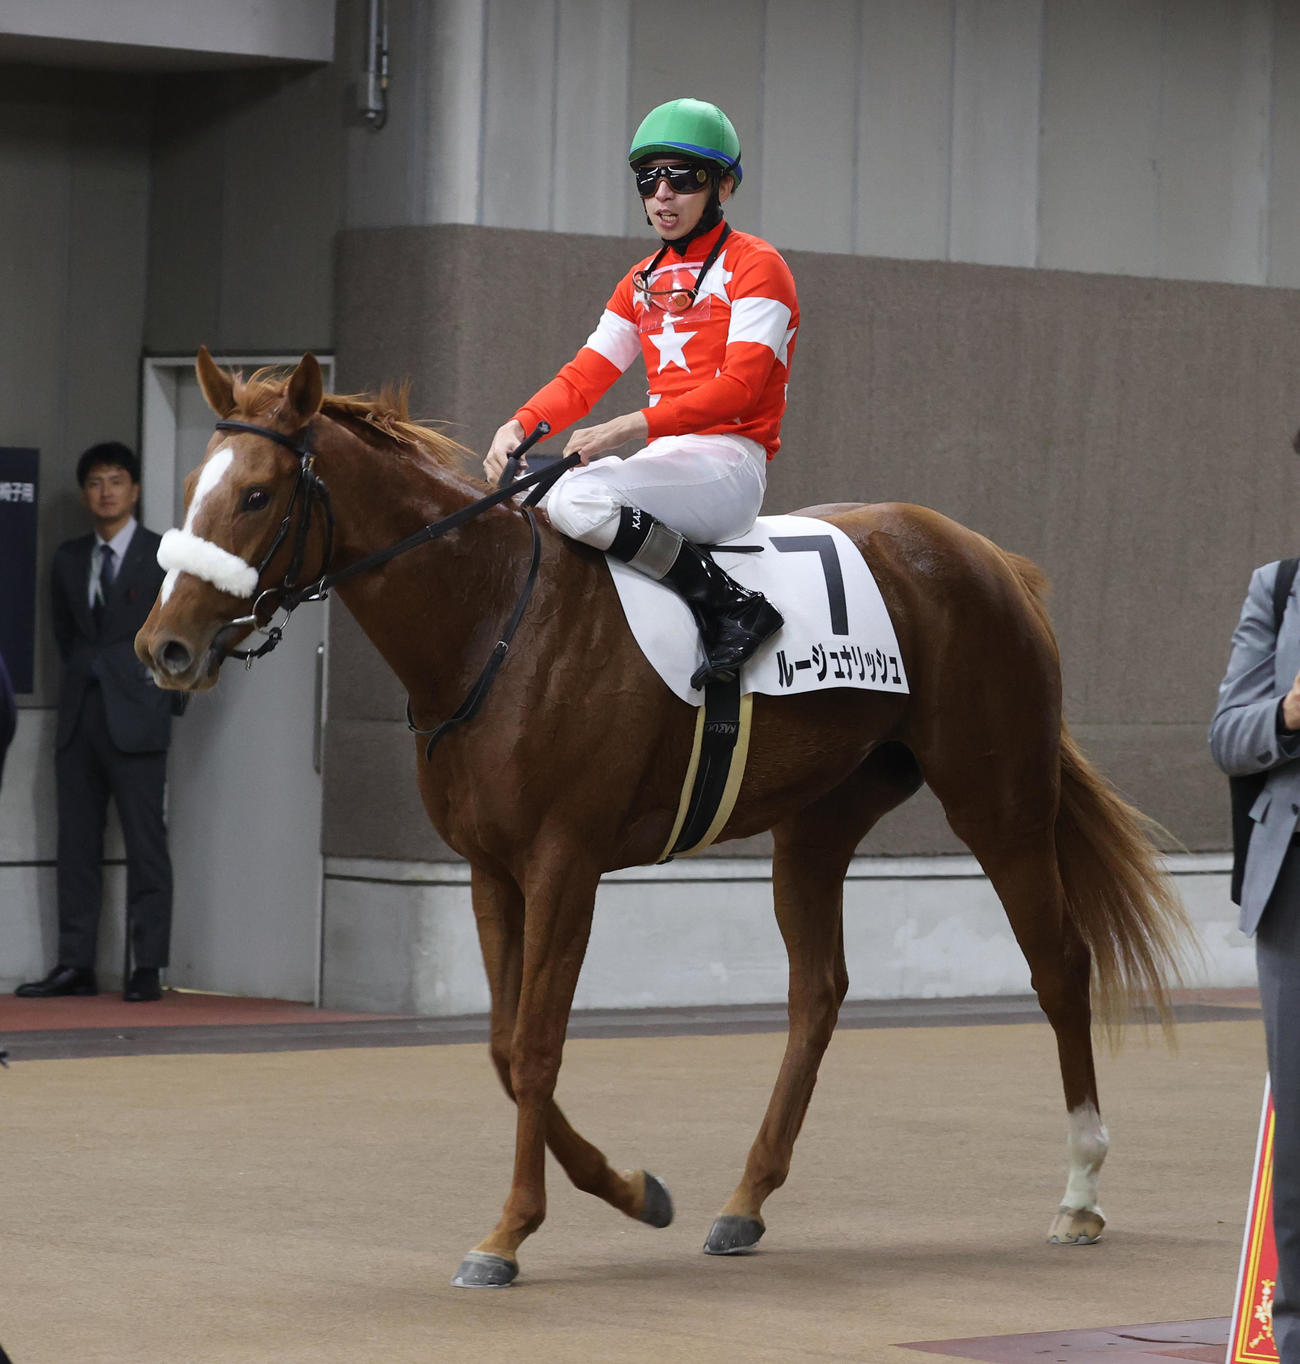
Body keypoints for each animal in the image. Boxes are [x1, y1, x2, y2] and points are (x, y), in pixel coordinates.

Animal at [136, 348, 1191, 1289]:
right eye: (192, 485)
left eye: (259, 495)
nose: (164, 646)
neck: (496, 619)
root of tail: (987, 556)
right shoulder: (489, 869)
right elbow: (505, 1048)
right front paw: (634, 1190)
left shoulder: (565, 863)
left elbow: (537, 1045)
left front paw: (510, 1232)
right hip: (819, 824)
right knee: (818, 994)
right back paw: (745, 1201)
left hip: (997, 800)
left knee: (1059, 966)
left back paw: (1081, 1192)